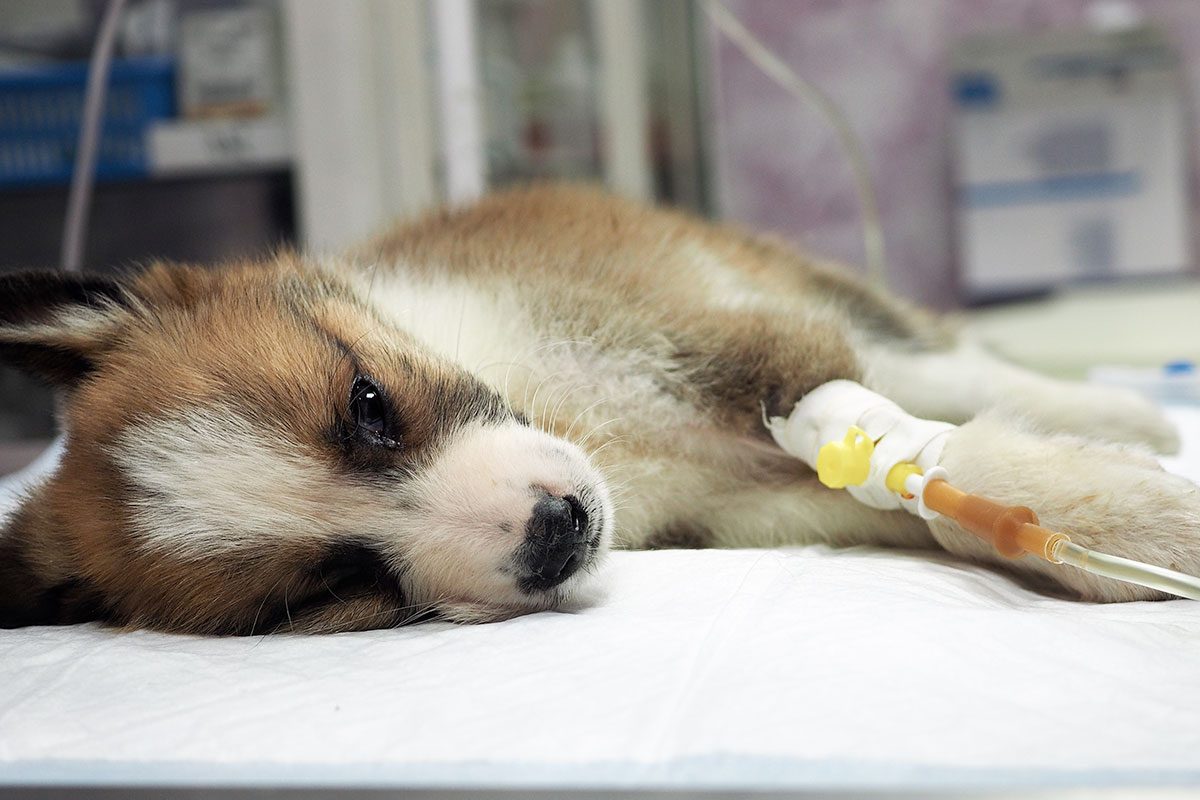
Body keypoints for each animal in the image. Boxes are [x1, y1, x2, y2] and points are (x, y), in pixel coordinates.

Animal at [0, 184, 1195, 633]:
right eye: (337, 585)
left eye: (369, 404)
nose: (555, 531)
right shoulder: (757, 511)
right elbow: (938, 497)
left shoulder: (724, 339)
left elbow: (910, 436)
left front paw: (1148, 520)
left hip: (811, 294)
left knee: (958, 363)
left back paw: (1128, 414)